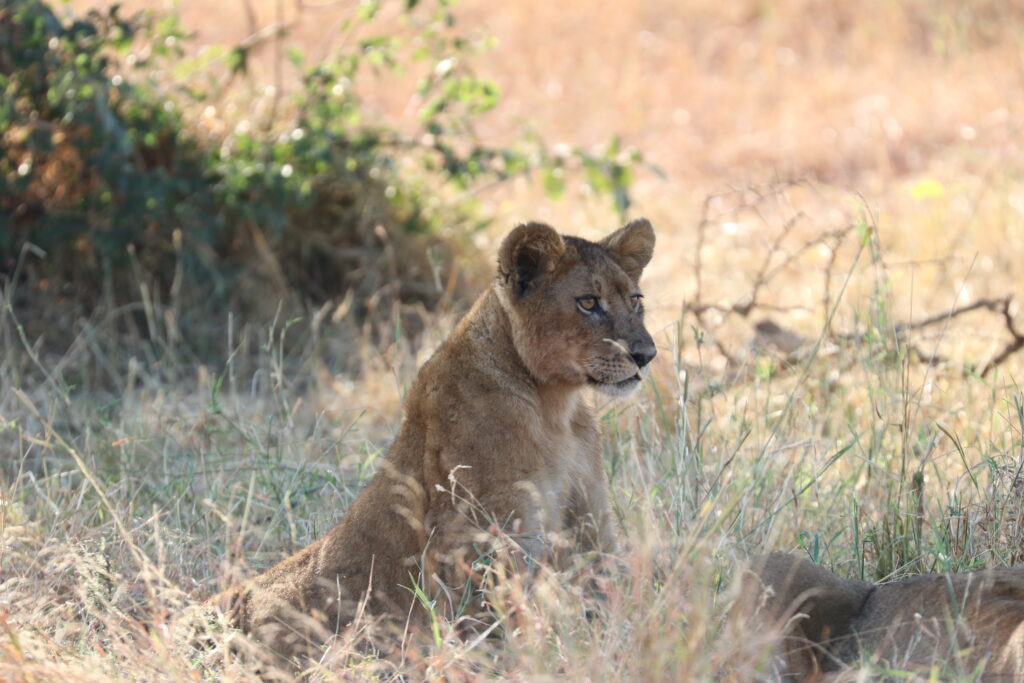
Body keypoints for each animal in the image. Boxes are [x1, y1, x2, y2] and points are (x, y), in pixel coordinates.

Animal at [206, 219, 655, 655]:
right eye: (588, 303)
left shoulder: (588, 515)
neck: (554, 407)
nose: (646, 355)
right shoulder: (481, 527)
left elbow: (605, 583)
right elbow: (495, 614)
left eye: (635, 300)